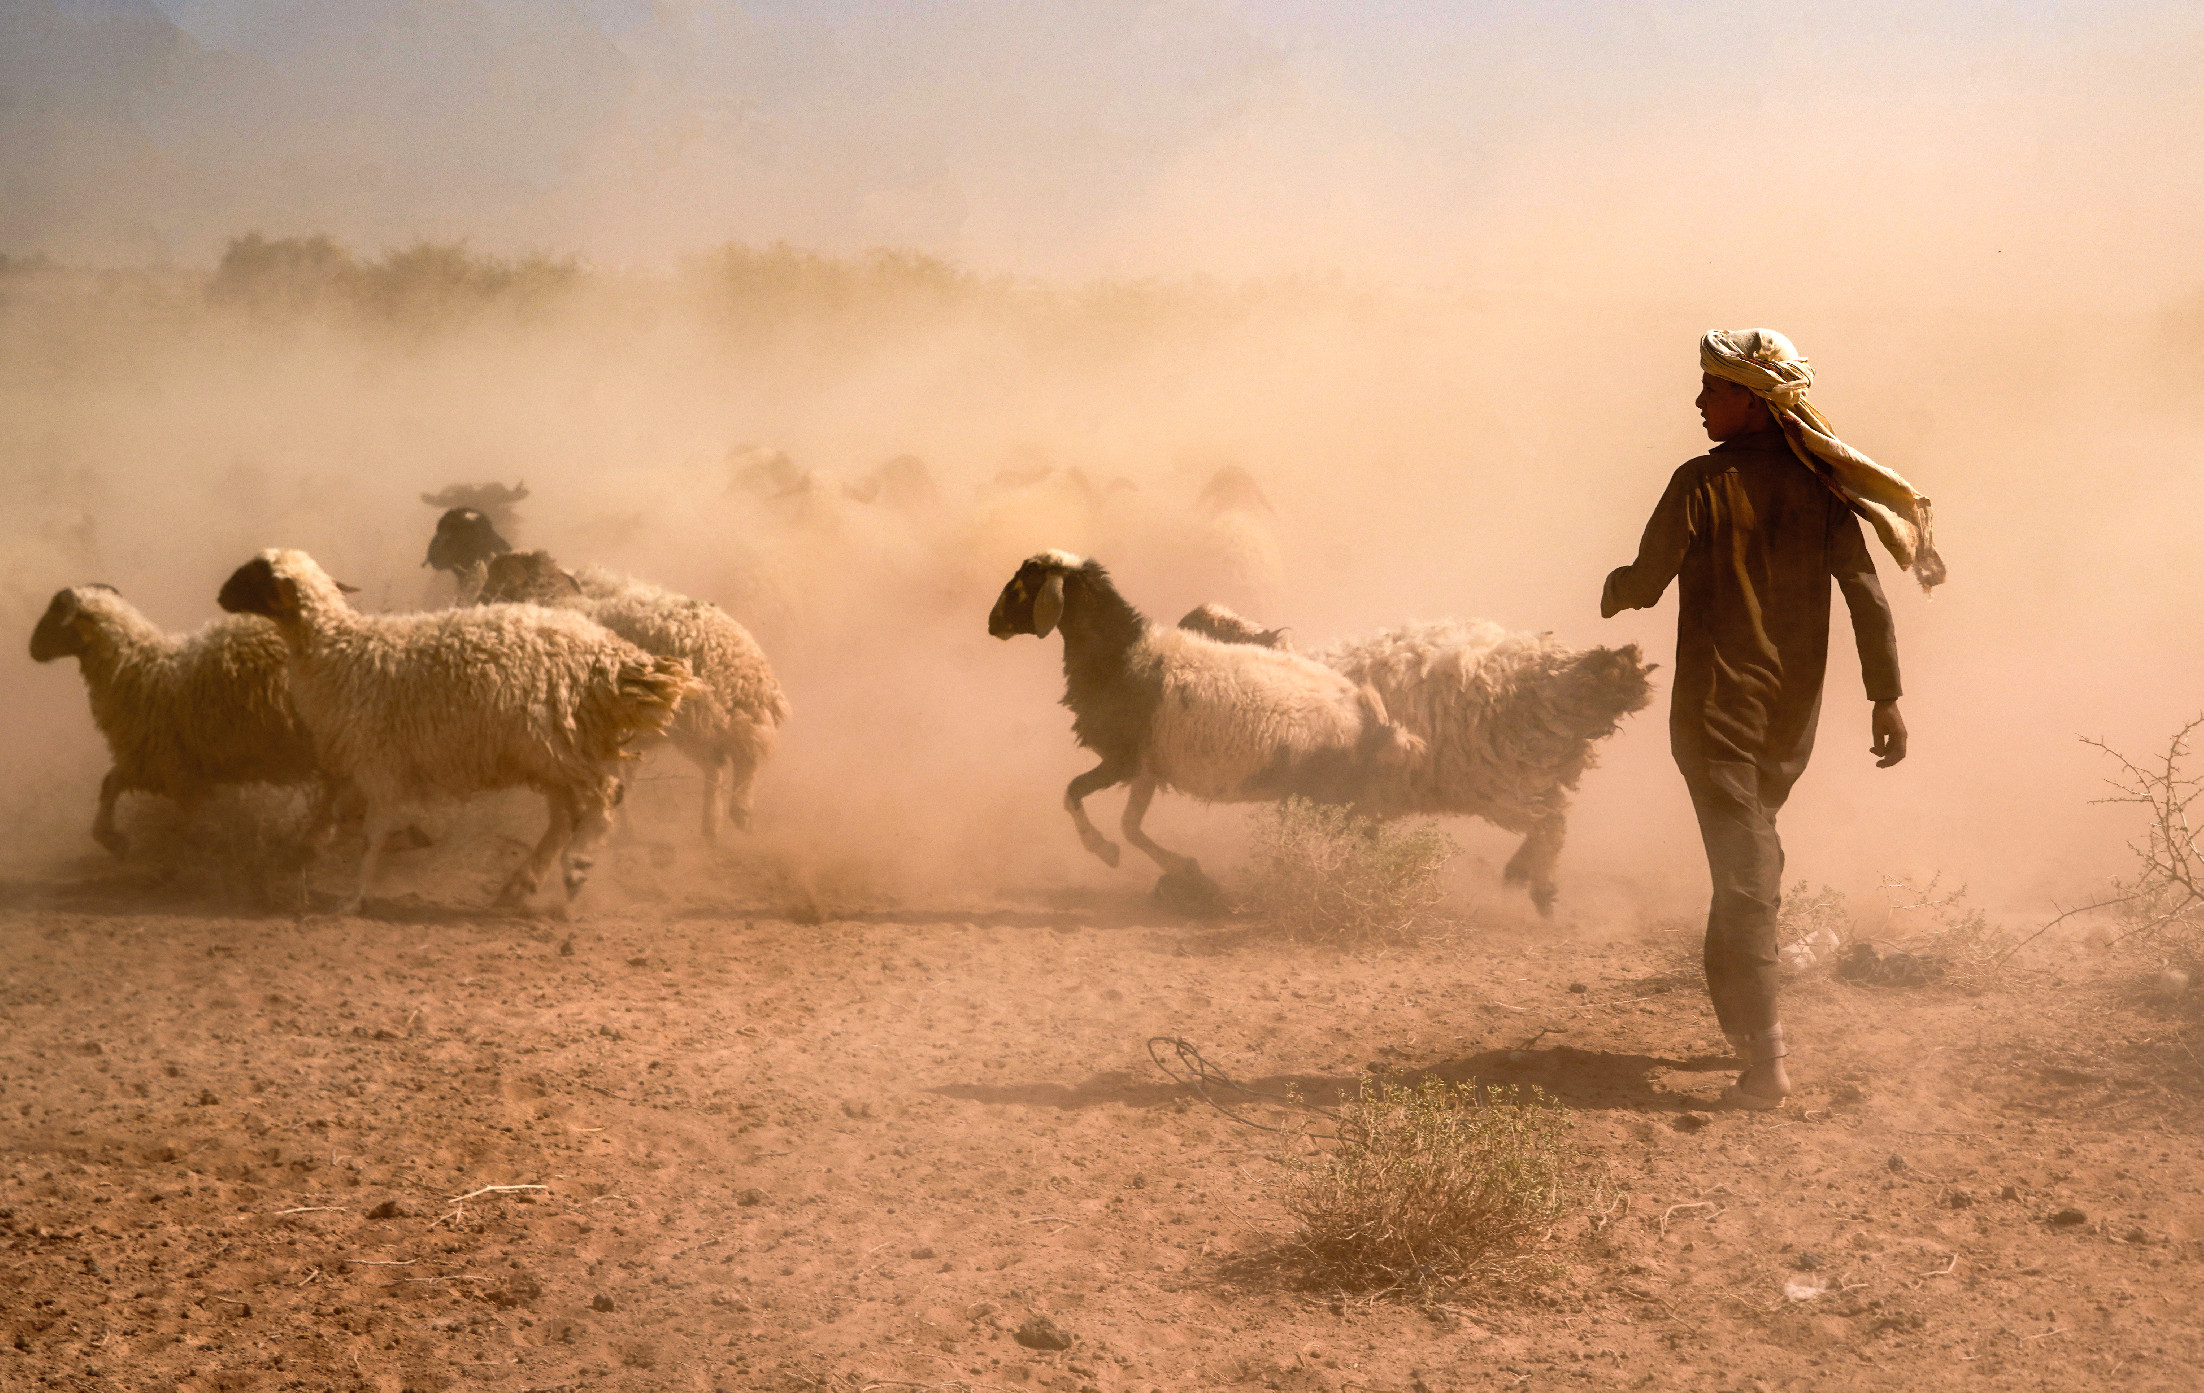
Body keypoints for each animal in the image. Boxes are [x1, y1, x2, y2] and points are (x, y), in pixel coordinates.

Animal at [27, 577, 321, 859]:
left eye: (54, 612)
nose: (33, 649)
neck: (137, 670)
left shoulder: (171, 765)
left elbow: (183, 819)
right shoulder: (151, 761)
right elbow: (110, 783)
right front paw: (114, 841)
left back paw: (311, 845)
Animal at [214, 548, 696, 921]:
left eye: (254, 574)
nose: (219, 596)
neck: (339, 652)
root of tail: (612, 658)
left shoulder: (378, 764)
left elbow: (370, 834)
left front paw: (353, 899)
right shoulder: (363, 765)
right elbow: (340, 818)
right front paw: (316, 852)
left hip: (555, 743)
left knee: (604, 795)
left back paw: (577, 867)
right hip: (551, 752)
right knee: (567, 815)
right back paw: (521, 884)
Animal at [473, 553, 793, 837]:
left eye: (497, 583)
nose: (476, 605)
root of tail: (748, 669)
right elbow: (623, 777)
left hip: (698, 723)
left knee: (739, 757)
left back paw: (738, 813)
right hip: (707, 724)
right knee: (728, 762)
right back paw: (715, 825)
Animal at [987, 548, 1428, 908]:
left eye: (1023, 584)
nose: (992, 626)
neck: (1122, 654)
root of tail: (1377, 723)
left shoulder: (1122, 760)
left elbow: (1073, 794)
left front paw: (1104, 850)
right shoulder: (1148, 767)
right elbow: (1131, 827)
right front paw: (1189, 872)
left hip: (1325, 795)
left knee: (1354, 842)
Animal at [1181, 599, 1648, 912]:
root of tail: (1561, 675)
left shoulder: (1333, 793)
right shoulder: (1352, 799)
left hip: (1499, 781)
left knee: (1551, 823)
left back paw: (1538, 888)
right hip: (1519, 777)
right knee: (1554, 819)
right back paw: (1525, 878)